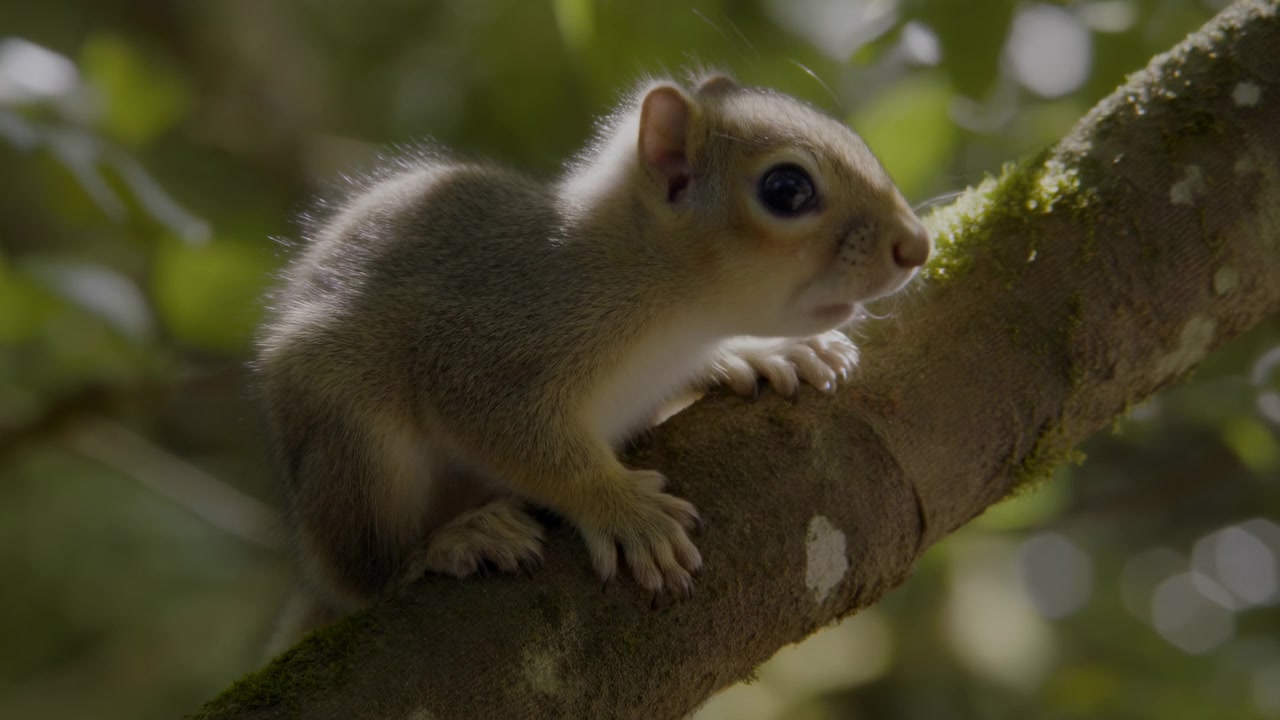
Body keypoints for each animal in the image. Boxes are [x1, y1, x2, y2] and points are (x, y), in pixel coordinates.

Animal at [257, 71, 930, 649]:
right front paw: (625, 512)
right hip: (358, 449)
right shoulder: (493, 342)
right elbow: (507, 429)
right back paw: (450, 541)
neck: (675, 312)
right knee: (364, 573)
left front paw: (762, 352)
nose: (918, 246)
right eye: (787, 189)